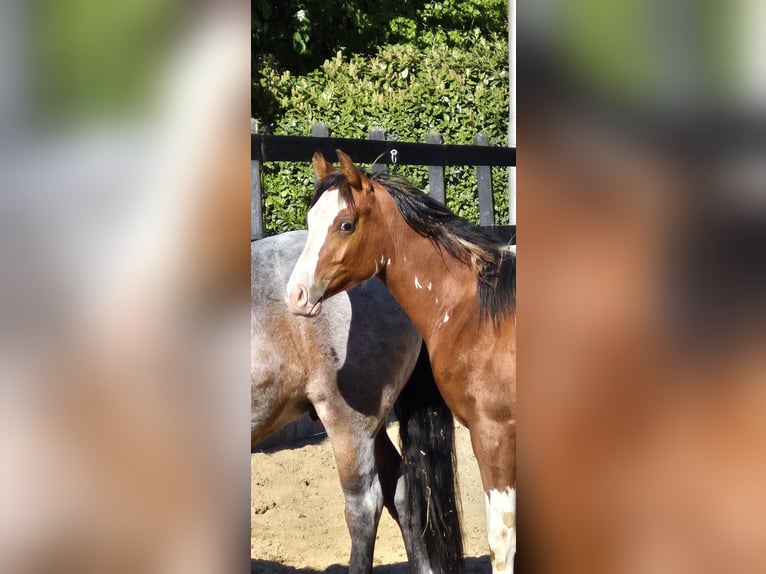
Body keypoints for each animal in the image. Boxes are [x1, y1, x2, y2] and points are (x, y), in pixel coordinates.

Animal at [285, 152, 517, 573]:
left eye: (346, 224)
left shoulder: (494, 435)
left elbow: (502, 540)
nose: (296, 295)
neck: (477, 314)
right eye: (310, 221)